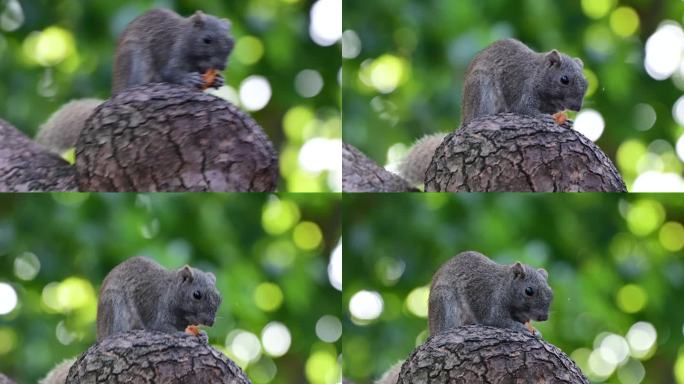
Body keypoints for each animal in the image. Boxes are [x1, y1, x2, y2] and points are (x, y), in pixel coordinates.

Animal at [35, 7, 235, 154]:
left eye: (231, 42)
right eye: (207, 40)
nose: (222, 65)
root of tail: (115, 91)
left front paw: (218, 79)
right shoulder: (171, 51)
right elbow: (171, 73)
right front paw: (189, 78)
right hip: (135, 60)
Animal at [40, 255, 220, 384]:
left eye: (219, 297)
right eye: (196, 295)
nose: (210, 322)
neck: (171, 291)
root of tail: (100, 334)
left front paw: (202, 334)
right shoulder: (157, 310)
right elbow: (164, 328)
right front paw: (185, 335)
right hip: (115, 309)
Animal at [376, 250, 552, 382]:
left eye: (551, 292)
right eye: (529, 291)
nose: (543, 317)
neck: (506, 285)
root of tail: (432, 327)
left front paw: (535, 330)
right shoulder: (491, 301)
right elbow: (497, 320)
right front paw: (521, 329)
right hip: (444, 301)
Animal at [400, 38, 588, 188]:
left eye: (586, 83)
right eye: (564, 79)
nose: (577, 107)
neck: (539, 73)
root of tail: (464, 117)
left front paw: (566, 121)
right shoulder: (525, 90)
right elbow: (525, 109)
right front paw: (545, 118)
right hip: (480, 88)